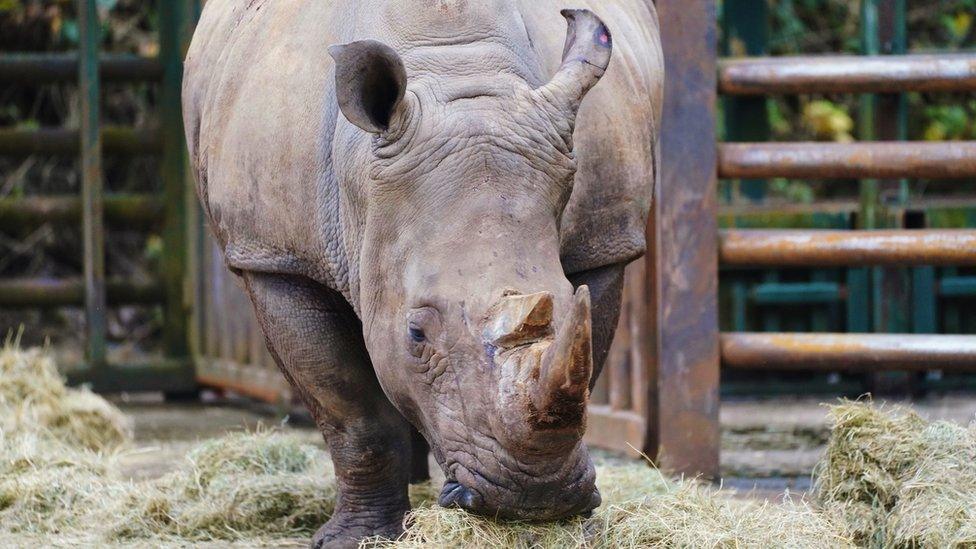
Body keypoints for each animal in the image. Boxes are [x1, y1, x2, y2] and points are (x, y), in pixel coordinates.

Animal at [183, 2, 664, 544]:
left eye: (567, 296)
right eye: (416, 334)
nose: (533, 499)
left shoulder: (602, 247)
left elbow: (587, 350)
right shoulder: (275, 258)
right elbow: (352, 410)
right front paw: (359, 540)